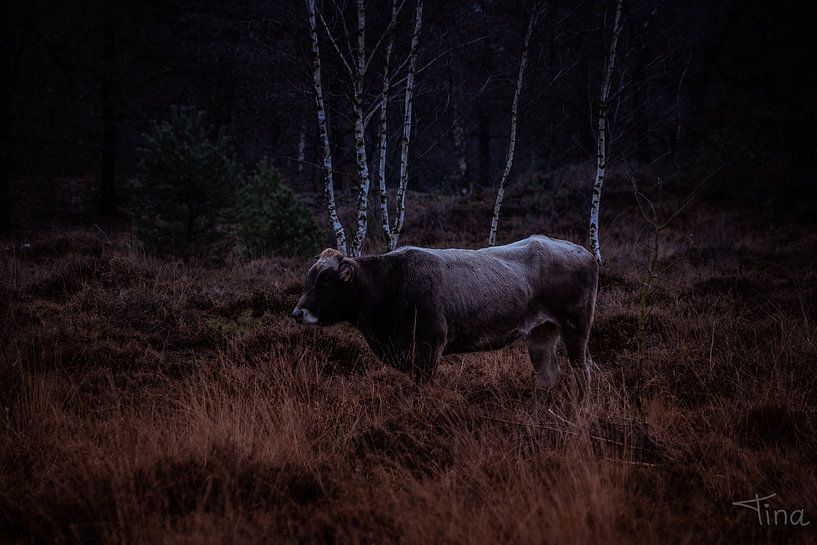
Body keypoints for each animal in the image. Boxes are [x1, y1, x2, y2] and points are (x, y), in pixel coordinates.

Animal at [291, 235, 598, 398]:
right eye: (308, 279)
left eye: (326, 280)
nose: (297, 312)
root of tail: (585, 252)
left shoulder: (429, 346)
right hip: (540, 332)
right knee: (547, 374)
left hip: (576, 324)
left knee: (583, 370)